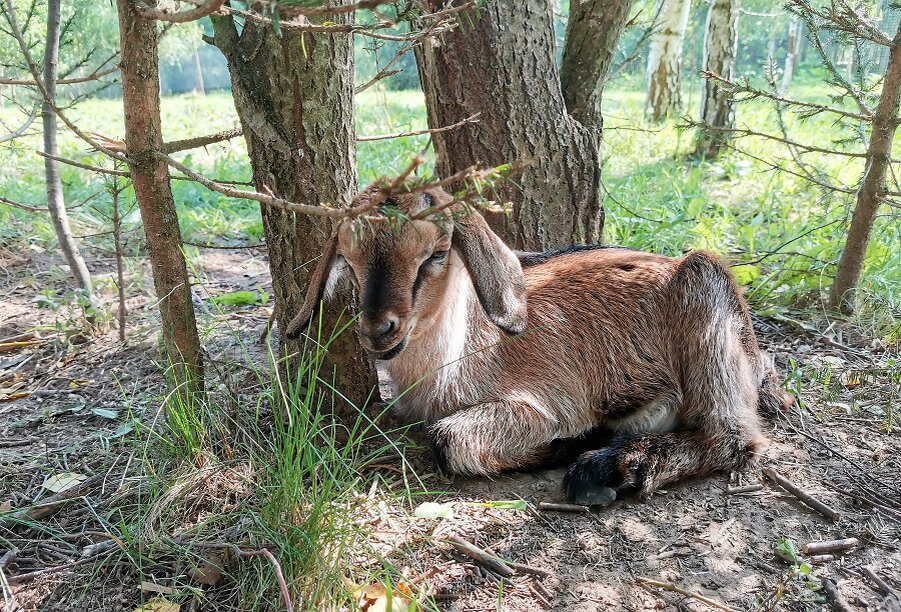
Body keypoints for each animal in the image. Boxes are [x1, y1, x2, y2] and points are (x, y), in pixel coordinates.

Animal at [284, 189, 792, 504]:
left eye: (435, 254)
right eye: (348, 259)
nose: (379, 330)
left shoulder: (544, 402)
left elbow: (449, 439)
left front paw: (573, 443)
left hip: (706, 300)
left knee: (731, 435)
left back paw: (611, 467)